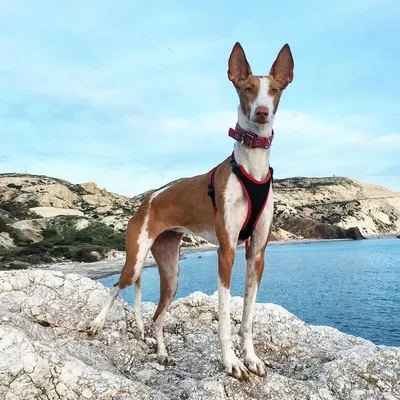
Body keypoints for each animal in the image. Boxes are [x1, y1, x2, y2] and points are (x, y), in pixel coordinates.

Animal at [86, 43, 294, 382]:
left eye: (274, 90)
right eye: (247, 89)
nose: (262, 112)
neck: (252, 168)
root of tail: (147, 201)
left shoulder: (257, 255)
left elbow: (248, 318)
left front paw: (250, 358)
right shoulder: (226, 251)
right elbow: (225, 318)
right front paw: (231, 363)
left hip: (171, 272)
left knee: (157, 317)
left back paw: (162, 353)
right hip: (135, 260)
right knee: (117, 287)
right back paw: (96, 323)